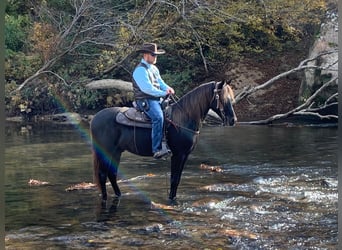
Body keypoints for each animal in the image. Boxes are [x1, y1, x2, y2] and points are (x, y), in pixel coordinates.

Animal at [89, 80, 236, 203]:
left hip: (116, 151)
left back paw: (119, 195)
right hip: (106, 150)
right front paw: (171, 200)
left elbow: (177, 179)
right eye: (223, 98)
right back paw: (105, 199)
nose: (233, 120)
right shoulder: (178, 155)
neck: (183, 118)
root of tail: (95, 118)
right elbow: (174, 179)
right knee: (102, 175)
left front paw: (174, 198)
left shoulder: (185, 155)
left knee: (112, 174)